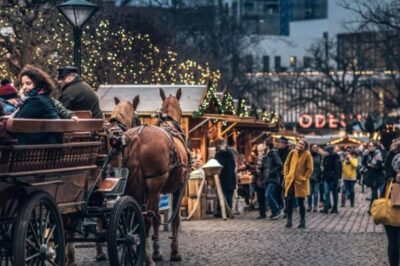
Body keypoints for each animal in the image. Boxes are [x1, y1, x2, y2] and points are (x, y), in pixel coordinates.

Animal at [123, 88, 189, 264]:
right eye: (181, 109)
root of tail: (138, 137)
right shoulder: (178, 188)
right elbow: (175, 219)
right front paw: (174, 252)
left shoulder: (159, 192)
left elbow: (157, 218)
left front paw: (157, 251)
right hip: (153, 188)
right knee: (146, 219)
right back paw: (146, 258)